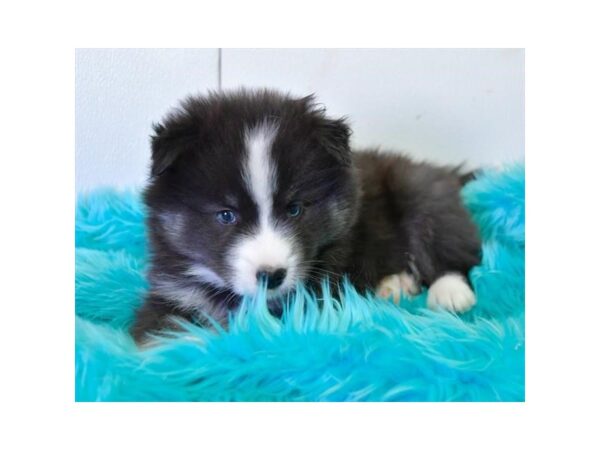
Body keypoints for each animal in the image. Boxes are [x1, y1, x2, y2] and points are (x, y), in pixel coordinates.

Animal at [130, 89, 478, 344]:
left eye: (295, 208)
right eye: (226, 215)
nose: (271, 276)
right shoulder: (173, 292)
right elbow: (157, 332)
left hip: (423, 192)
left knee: (452, 252)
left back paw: (450, 292)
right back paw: (395, 284)